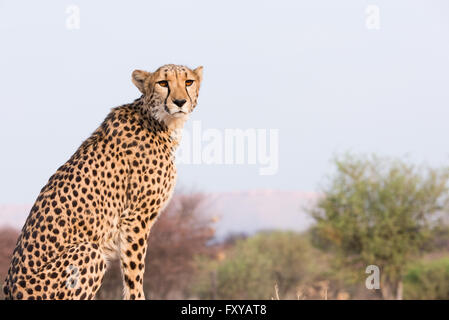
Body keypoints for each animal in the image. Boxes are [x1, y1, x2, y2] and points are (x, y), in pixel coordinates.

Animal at [2, 63, 203, 298]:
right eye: (163, 83)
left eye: (188, 81)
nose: (180, 102)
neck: (160, 121)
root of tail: (9, 289)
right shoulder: (135, 217)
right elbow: (134, 273)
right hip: (89, 250)